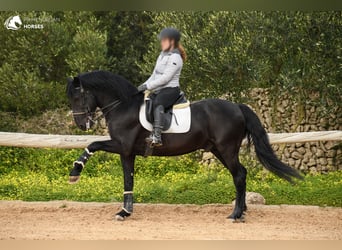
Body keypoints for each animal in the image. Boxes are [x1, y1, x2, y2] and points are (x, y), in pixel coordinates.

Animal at [67, 70, 302, 221]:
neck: (123, 106)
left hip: (227, 149)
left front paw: (75, 172)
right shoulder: (127, 153)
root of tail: (237, 106)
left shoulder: (121, 146)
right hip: (218, 150)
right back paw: (242, 210)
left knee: (239, 175)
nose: (81, 124)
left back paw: (235, 215)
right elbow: (128, 180)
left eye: (78, 97)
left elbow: (93, 144)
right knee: (240, 173)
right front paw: (125, 212)